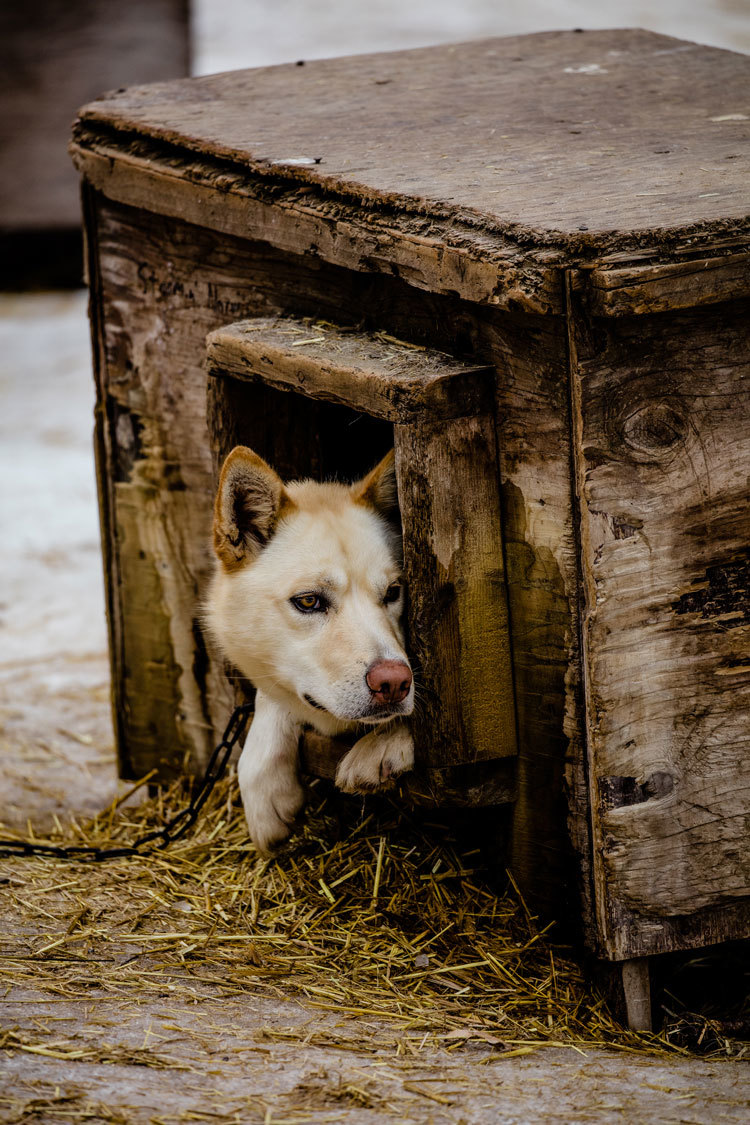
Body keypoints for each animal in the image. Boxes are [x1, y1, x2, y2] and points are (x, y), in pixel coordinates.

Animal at [205, 443, 416, 846]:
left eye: (393, 592)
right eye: (308, 601)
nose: (394, 682)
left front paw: (384, 743)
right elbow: (271, 698)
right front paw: (265, 789)